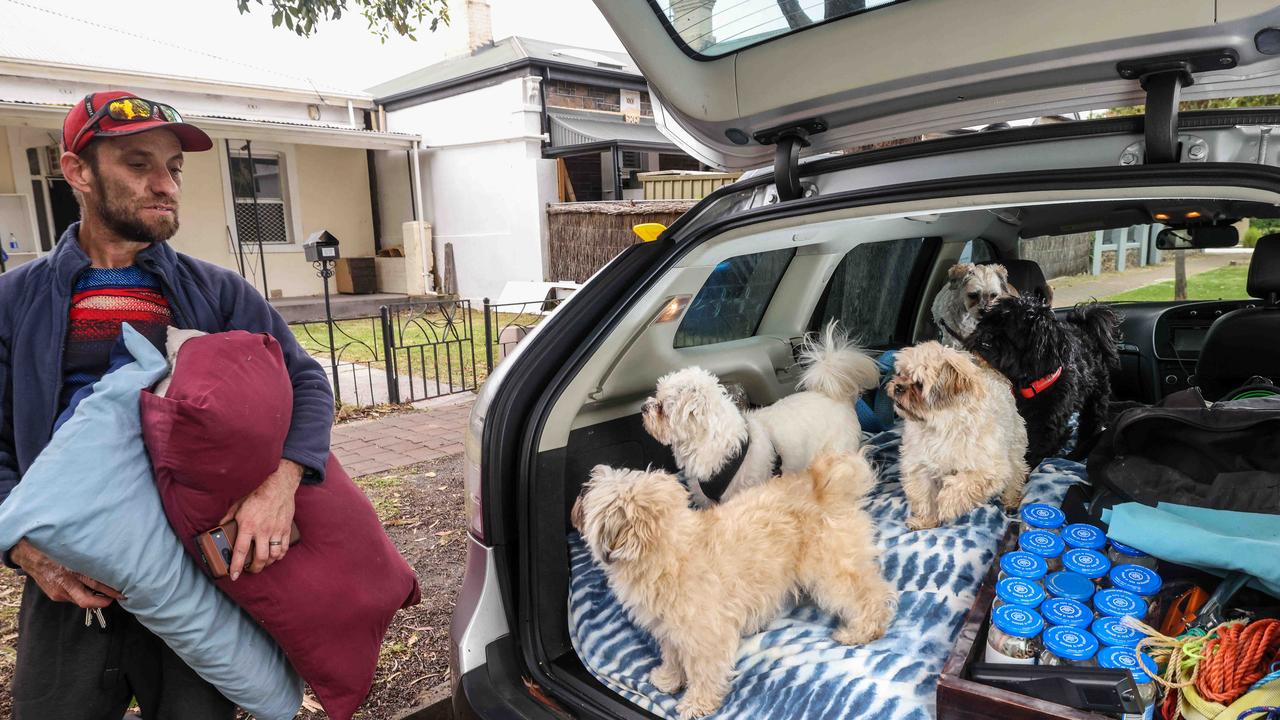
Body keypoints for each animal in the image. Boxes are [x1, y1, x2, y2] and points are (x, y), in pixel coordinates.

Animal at [576, 450, 896, 712]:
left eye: (592, 496)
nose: (578, 500)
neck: (668, 549)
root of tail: (820, 484)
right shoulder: (671, 631)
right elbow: (672, 657)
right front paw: (668, 679)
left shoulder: (705, 636)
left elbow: (704, 673)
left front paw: (696, 704)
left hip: (831, 570)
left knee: (871, 595)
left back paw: (860, 631)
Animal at [890, 340, 1029, 527]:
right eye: (902, 374)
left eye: (919, 384)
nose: (898, 386)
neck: (941, 426)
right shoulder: (920, 467)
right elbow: (924, 496)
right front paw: (925, 522)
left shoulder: (989, 470)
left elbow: (962, 485)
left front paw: (947, 506)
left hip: (1014, 448)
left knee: (1016, 473)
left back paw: (1011, 500)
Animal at [967, 294, 1121, 461]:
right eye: (987, 322)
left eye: (1009, 330)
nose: (984, 334)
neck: (1031, 386)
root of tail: (1086, 331)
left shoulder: (1046, 426)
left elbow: (1035, 450)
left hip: (1096, 396)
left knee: (1092, 422)